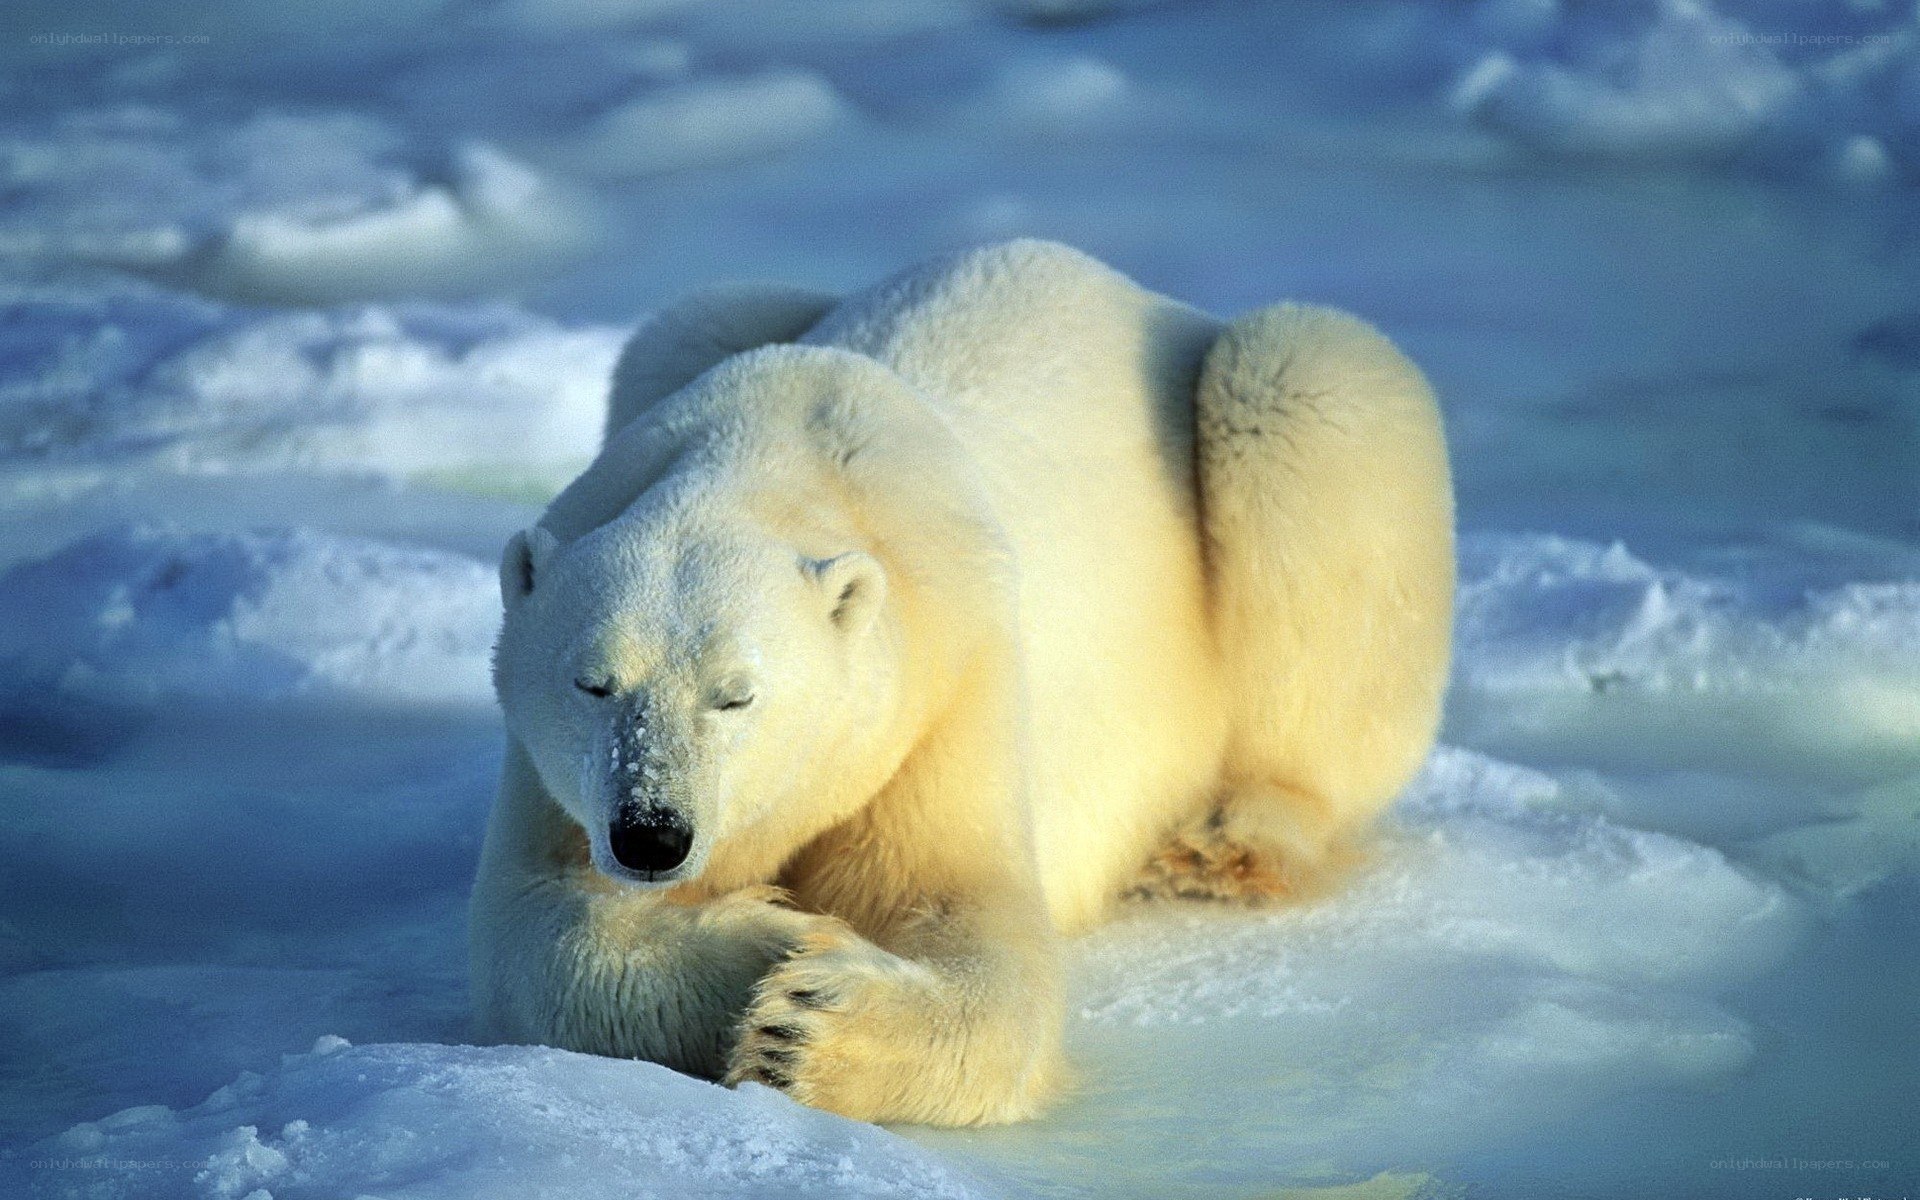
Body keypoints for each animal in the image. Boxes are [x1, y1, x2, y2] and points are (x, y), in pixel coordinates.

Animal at [470, 239, 1454, 1126]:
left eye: (736, 694)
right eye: (593, 684)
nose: (651, 834)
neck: (781, 455)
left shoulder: (946, 680)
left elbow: (970, 918)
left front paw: (805, 1025)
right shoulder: (555, 772)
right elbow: (534, 926)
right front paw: (770, 939)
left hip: (1284, 416)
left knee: (1307, 395)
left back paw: (1229, 842)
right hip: (696, 329)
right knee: (690, 315)